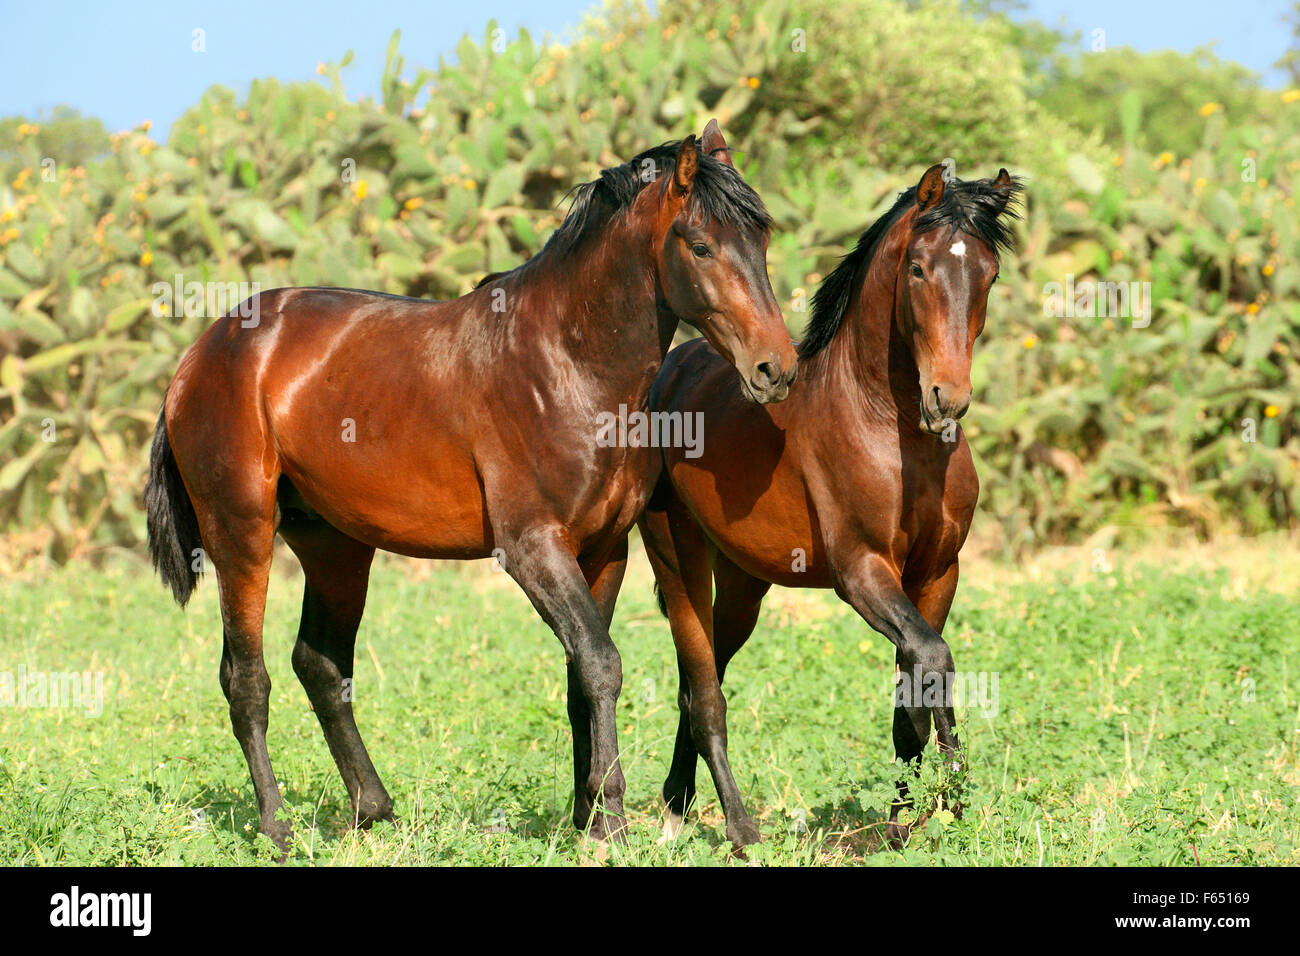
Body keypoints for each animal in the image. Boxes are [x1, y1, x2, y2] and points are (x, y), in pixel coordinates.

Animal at [142, 121, 790, 853]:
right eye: (702, 244)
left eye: (761, 240)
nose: (776, 368)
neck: (562, 363)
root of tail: (201, 354)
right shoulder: (532, 548)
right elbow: (601, 663)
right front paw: (610, 820)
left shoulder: (602, 551)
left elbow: (582, 676)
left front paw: (586, 816)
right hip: (241, 535)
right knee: (246, 679)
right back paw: (278, 828)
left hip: (336, 547)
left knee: (322, 665)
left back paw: (373, 809)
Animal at [634, 162, 1019, 842]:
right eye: (917, 269)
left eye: (989, 273)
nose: (947, 399)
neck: (890, 427)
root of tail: (671, 368)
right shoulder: (862, 571)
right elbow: (932, 659)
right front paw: (949, 789)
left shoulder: (937, 574)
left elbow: (916, 682)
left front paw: (905, 822)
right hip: (677, 560)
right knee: (702, 689)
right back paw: (729, 828)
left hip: (743, 586)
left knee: (702, 674)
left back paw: (680, 801)